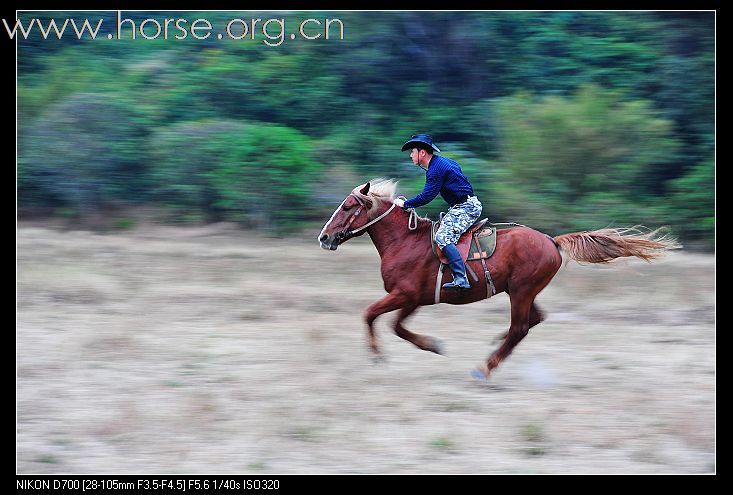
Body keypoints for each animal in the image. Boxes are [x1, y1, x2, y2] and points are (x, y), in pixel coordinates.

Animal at [318, 180, 676, 378]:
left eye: (348, 206)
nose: (324, 237)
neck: (405, 242)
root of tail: (552, 241)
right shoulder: (415, 299)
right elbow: (397, 327)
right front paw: (432, 344)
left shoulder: (404, 295)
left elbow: (370, 315)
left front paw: (378, 355)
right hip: (523, 292)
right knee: (534, 320)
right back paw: (494, 345)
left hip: (520, 291)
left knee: (521, 327)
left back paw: (485, 367)